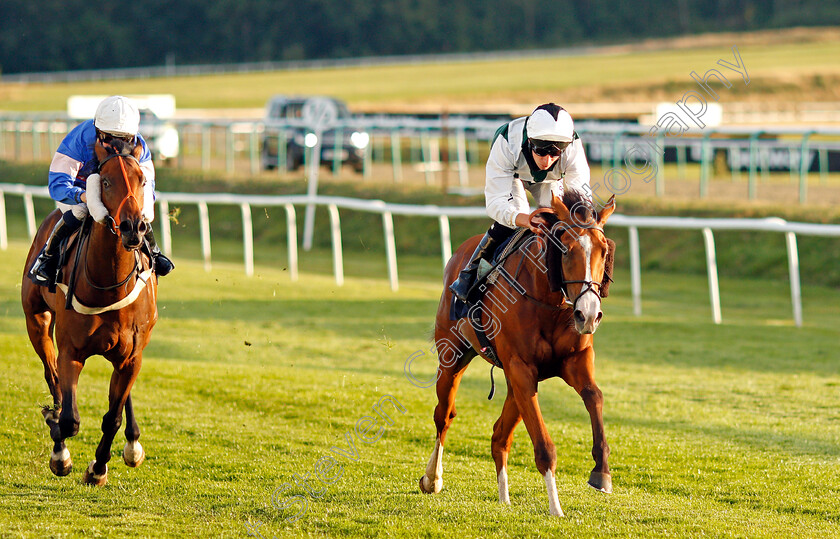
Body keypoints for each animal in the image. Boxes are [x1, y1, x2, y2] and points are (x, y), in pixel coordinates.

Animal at [22, 137, 158, 488]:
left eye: (142, 180)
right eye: (106, 181)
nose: (133, 226)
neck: (108, 284)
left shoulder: (132, 356)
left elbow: (112, 417)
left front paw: (98, 467)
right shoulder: (71, 351)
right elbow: (69, 418)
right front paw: (60, 450)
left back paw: (133, 443)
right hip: (36, 320)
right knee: (52, 376)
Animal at [420, 194, 616, 520]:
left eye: (603, 250)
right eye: (566, 249)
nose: (588, 314)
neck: (549, 301)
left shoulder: (574, 361)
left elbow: (595, 396)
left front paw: (601, 472)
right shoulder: (522, 369)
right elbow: (544, 446)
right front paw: (556, 508)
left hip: (514, 383)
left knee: (499, 436)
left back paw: (504, 498)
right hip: (452, 357)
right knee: (443, 415)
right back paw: (432, 478)